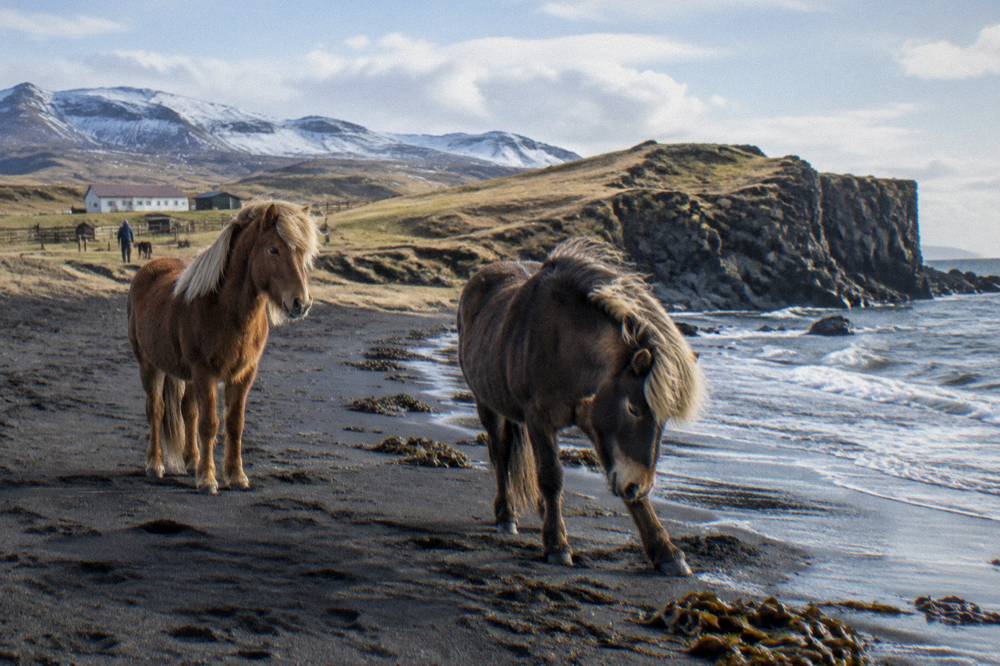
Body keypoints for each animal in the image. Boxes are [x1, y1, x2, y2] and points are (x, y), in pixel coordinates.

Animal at [127, 200, 318, 494]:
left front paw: (236, 476)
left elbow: (234, 424)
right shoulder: (205, 373)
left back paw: (191, 461)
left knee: (188, 411)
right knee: (156, 410)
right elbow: (209, 424)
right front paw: (208, 479)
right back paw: (155, 465)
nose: (301, 303)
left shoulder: (243, 375)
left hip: (186, 375)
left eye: (302, 252)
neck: (224, 309)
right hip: (149, 366)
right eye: (273, 249)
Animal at [458, 239, 705, 575]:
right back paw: (506, 516)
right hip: (487, 405)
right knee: (501, 452)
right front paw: (557, 546)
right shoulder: (539, 419)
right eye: (634, 409)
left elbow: (625, 489)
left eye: (664, 418)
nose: (640, 485)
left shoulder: (598, 426)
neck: (564, 346)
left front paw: (667, 552)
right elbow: (551, 476)